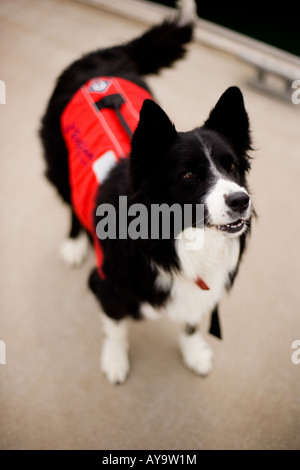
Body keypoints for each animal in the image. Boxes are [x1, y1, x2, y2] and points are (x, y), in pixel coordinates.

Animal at [39, 0, 253, 382]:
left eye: (231, 166)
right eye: (188, 175)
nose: (240, 200)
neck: (177, 239)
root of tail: (102, 56)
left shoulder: (198, 292)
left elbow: (190, 323)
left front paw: (194, 352)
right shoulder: (107, 285)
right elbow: (116, 326)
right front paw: (114, 360)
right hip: (58, 161)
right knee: (70, 203)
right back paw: (75, 243)